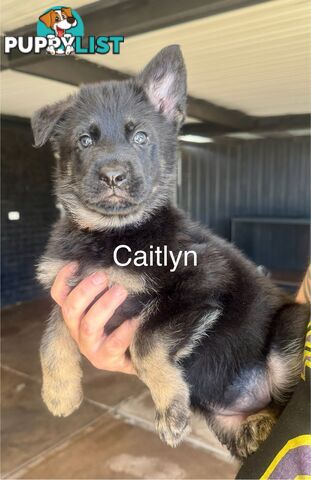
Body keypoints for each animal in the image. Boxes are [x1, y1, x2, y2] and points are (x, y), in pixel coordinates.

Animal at [32, 46, 310, 462]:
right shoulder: (69, 290)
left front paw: (170, 410)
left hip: (291, 326)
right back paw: (256, 428)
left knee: (283, 392)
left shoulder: (202, 283)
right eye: (84, 141)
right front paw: (59, 392)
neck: (112, 234)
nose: (113, 175)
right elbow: (51, 335)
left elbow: (146, 340)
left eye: (141, 137)